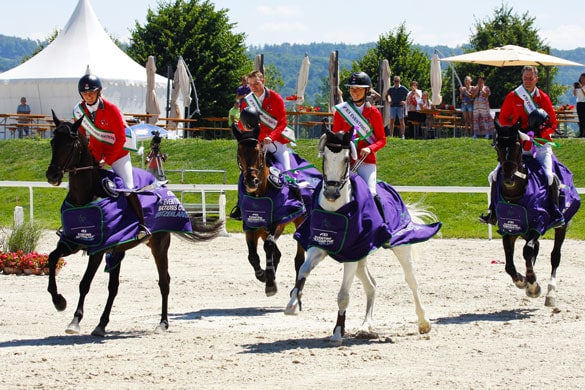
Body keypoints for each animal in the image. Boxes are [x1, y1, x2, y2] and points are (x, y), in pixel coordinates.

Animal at [45, 112, 224, 336]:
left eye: (71, 143)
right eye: (53, 142)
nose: (52, 176)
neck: (85, 196)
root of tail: (164, 187)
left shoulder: (97, 249)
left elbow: (84, 283)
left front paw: (75, 320)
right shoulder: (73, 241)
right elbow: (52, 258)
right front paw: (58, 300)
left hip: (159, 246)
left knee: (164, 281)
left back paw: (163, 323)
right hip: (119, 250)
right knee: (114, 287)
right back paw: (101, 324)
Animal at [230, 122, 320, 296]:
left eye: (258, 152)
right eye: (239, 152)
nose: (251, 181)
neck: (259, 193)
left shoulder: (280, 221)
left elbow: (269, 246)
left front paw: (270, 282)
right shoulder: (251, 225)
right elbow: (253, 255)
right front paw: (263, 276)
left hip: (300, 220)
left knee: (298, 259)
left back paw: (296, 290)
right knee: (276, 254)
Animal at [286, 129, 440, 342]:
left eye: (345, 159)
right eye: (325, 157)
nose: (331, 193)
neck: (336, 209)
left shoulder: (350, 255)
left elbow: (343, 296)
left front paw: (338, 332)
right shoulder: (320, 246)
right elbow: (303, 271)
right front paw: (292, 304)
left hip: (400, 247)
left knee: (411, 281)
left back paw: (423, 323)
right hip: (361, 256)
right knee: (371, 286)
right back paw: (366, 326)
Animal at [488, 120, 580, 306]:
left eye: (518, 146)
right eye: (497, 146)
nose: (508, 179)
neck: (516, 194)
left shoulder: (539, 223)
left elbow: (527, 251)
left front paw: (532, 285)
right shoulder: (509, 228)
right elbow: (509, 264)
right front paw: (522, 281)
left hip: (561, 225)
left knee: (554, 256)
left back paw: (550, 294)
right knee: (534, 249)